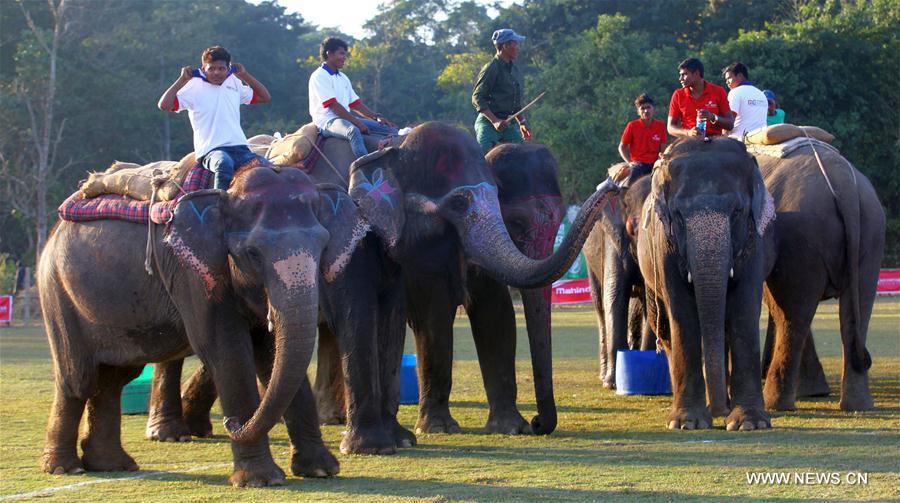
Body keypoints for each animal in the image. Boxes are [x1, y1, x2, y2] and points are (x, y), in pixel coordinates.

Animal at [38, 166, 360, 488]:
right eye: (253, 254)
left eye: (322, 247)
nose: (231, 422)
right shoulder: (192, 273)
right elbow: (226, 351)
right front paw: (260, 480)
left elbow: (270, 356)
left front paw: (321, 470)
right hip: (58, 293)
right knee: (78, 378)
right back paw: (65, 468)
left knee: (113, 379)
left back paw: (112, 465)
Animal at [151, 125, 624, 452]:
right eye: (459, 203)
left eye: (556, 216)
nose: (613, 181)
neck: (388, 145)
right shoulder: (365, 232)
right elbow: (406, 314)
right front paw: (408, 437)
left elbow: (467, 316)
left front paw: (499, 429)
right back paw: (175, 432)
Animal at [584, 169, 652, 390]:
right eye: (633, 227)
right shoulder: (614, 242)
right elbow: (614, 296)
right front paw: (612, 383)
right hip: (590, 262)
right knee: (600, 306)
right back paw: (603, 375)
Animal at [636, 136, 776, 432]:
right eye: (678, 214)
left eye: (737, 212)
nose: (720, 412)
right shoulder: (663, 243)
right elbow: (682, 314)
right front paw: (686, 423)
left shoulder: (754, 239)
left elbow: (744, 309)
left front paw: (750, 423)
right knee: (666, 329)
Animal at [756, 142, 884, 414]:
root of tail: (844, 182)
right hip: (871, 233)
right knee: (854, 314)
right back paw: (857, 405)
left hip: (801, 235)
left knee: (793, 313)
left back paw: (775, 404)